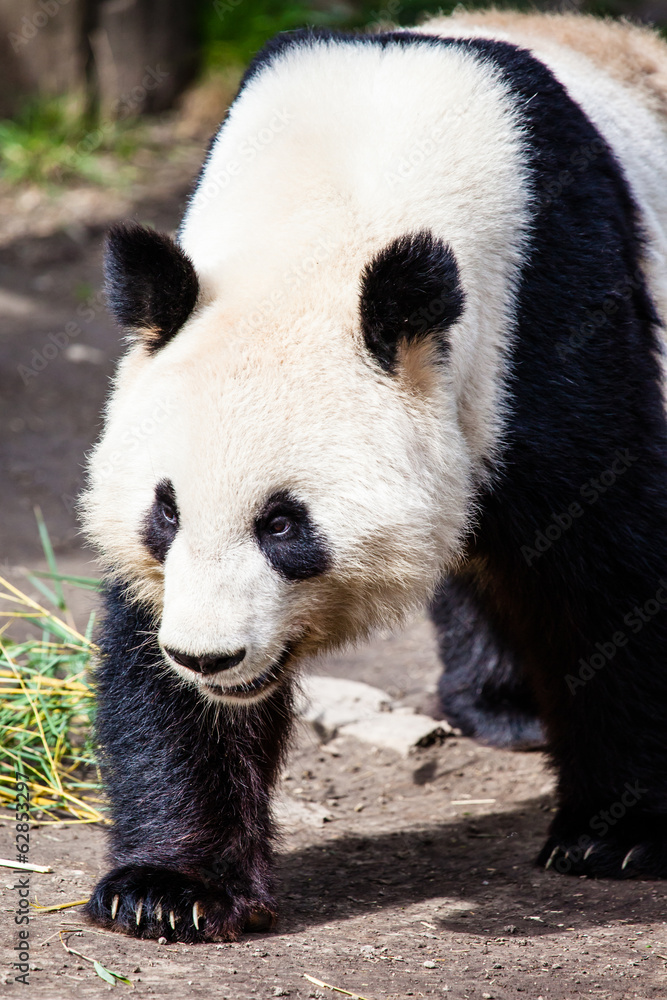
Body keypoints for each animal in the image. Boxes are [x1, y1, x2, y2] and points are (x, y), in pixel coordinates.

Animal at [81, 11, 667, 942]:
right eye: (164, 514)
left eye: (283, 523)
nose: (209, 656)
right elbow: (148, 642)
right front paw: (170, 889)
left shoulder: (546, 311)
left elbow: (606, 559)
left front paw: (618, 834)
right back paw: (500, 705)